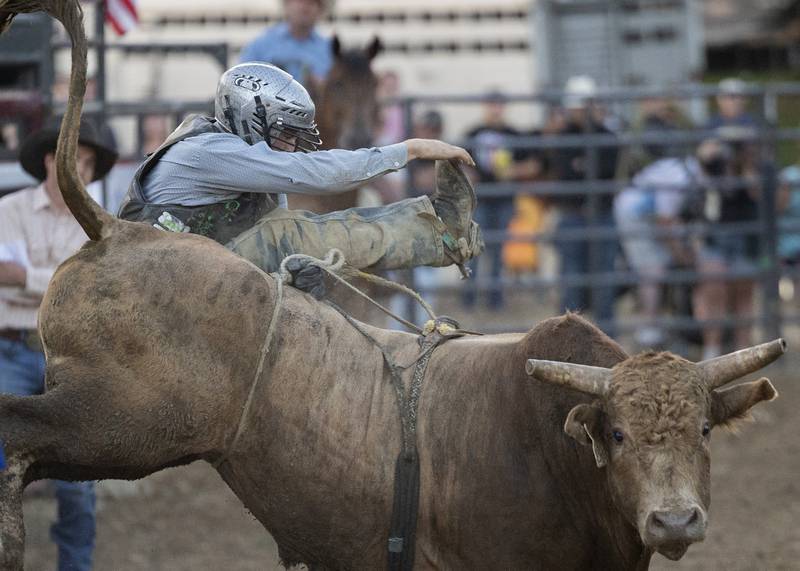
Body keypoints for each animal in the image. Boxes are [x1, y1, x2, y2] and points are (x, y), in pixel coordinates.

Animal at [0, 2, 788, 568]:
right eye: (617, 433)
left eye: (705, 429)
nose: (676, 519)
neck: (551, 442)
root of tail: (111, 228)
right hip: (122, 419)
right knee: (19, 428)